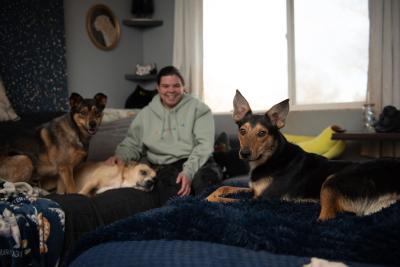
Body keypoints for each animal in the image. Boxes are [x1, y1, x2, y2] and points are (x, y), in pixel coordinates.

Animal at [206, 91, 400, 221]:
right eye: (242, 131)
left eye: (262, 133)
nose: (244, 153)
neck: (272, 157)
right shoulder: (254, 190)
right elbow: (222, 187)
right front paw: (216, 193)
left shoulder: (262, 198)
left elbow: (223, 199)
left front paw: (217, 199)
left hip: (331, 181)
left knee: (328, 218)